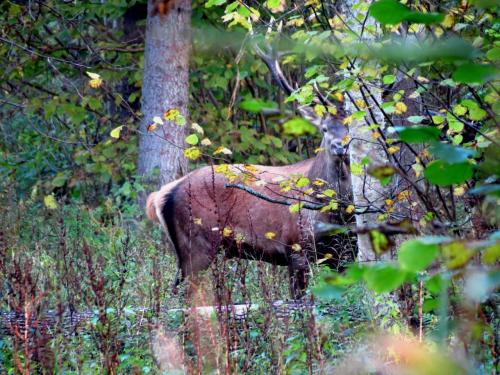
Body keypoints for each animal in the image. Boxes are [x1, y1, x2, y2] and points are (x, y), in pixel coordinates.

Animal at [146, 47, 354, 300]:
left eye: (350, 127)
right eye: (324, 128)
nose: (340, 146)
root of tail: (162, 194)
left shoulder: (345, 255)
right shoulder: (296, 247)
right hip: (196, 244)